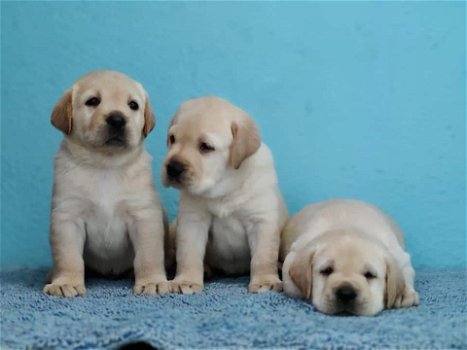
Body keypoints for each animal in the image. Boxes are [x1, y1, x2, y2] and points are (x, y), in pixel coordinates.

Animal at [44, 69, 170, 296]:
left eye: (133, 105)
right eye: (93, 101)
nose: (117, 119)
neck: (105, 166)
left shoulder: (144, 216)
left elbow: (148, 255)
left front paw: (152, 281)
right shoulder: (67, 217)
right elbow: (69, 258)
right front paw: (66, 282)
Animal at [163, 95, 288, 292]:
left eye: (206, 146)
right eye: (172, 138)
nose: (173, 168)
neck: (223, 187)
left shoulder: (261, 221)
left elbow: (263, 257)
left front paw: (265, 281)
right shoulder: (192, 221)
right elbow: (188, 255)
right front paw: (186, 281)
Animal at [282, 198, 420, 316]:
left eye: (370, 275)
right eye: (326, 270)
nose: (346, 293)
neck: (349, 226)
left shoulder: (399, 255)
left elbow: (405, 272)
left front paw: (404, 293)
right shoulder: (294, 254)